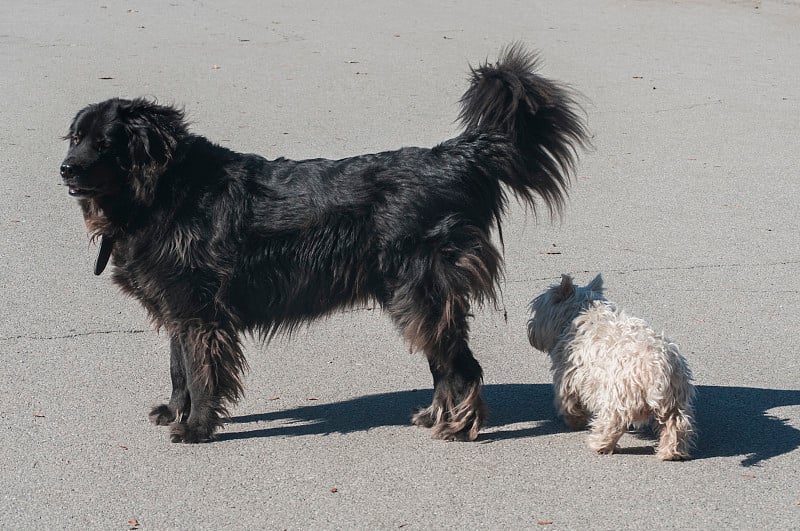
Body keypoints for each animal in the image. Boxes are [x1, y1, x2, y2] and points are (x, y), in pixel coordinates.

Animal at [59, 44, 588, 444]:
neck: (164, 190)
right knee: (444, 362)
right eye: (75, 139)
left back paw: (460, 426)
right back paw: (437, 416)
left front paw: (196, 428)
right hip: (418, 298)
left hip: (419, 292)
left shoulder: (199, 313)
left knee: (462, 366)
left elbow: (201, 372)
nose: (65, 169)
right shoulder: (178, 310)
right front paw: (175, 411)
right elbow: (178, 370)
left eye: (105, 144)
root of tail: (455, 157)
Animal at [524, 276, 692, 460]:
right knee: (676, 423)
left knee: (613, 422)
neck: (579, 314)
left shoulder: (569, 374)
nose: (530, 328)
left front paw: (575, 421)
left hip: (619, 394)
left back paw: (599, 444)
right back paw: (671, 452)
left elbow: (569, 401)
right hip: (675, 400)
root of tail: (659, 369)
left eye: (537, 309)